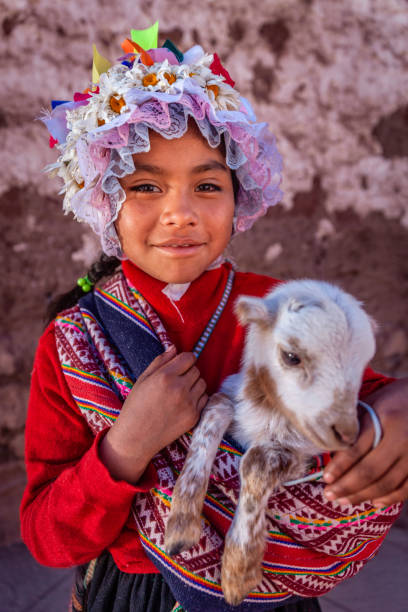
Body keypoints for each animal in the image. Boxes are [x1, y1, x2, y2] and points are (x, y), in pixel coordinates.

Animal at [163, 280, 376, 604]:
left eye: (363, 365)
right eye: (291, 356)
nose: (346, 434)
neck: (268, 414)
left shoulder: (303, 456)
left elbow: (257, 462)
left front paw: (239, 572)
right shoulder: (231, 398)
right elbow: (212, 413)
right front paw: (180, 528)